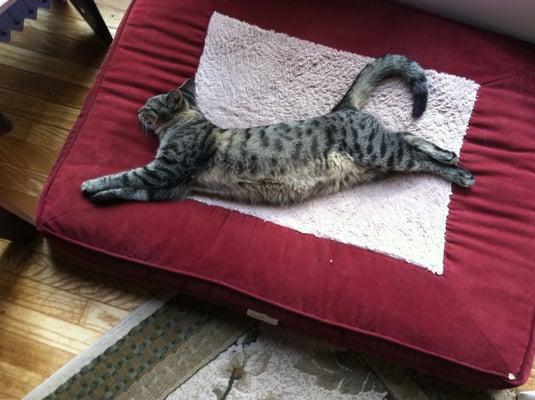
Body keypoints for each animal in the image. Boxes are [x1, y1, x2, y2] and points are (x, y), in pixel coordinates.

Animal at [79, 54, 474, 205]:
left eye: (148, 104)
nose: (137, 110)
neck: (188, 122)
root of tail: (342, 109)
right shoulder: (168, 187)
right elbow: (130, 190)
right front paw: (103, 197)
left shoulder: (165, 171)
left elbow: (125, 176)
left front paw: (91, 186)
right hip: (379, 153)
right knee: (409, 138)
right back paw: (448, 153)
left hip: (377, 151)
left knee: (417, 156)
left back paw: (460, 173)